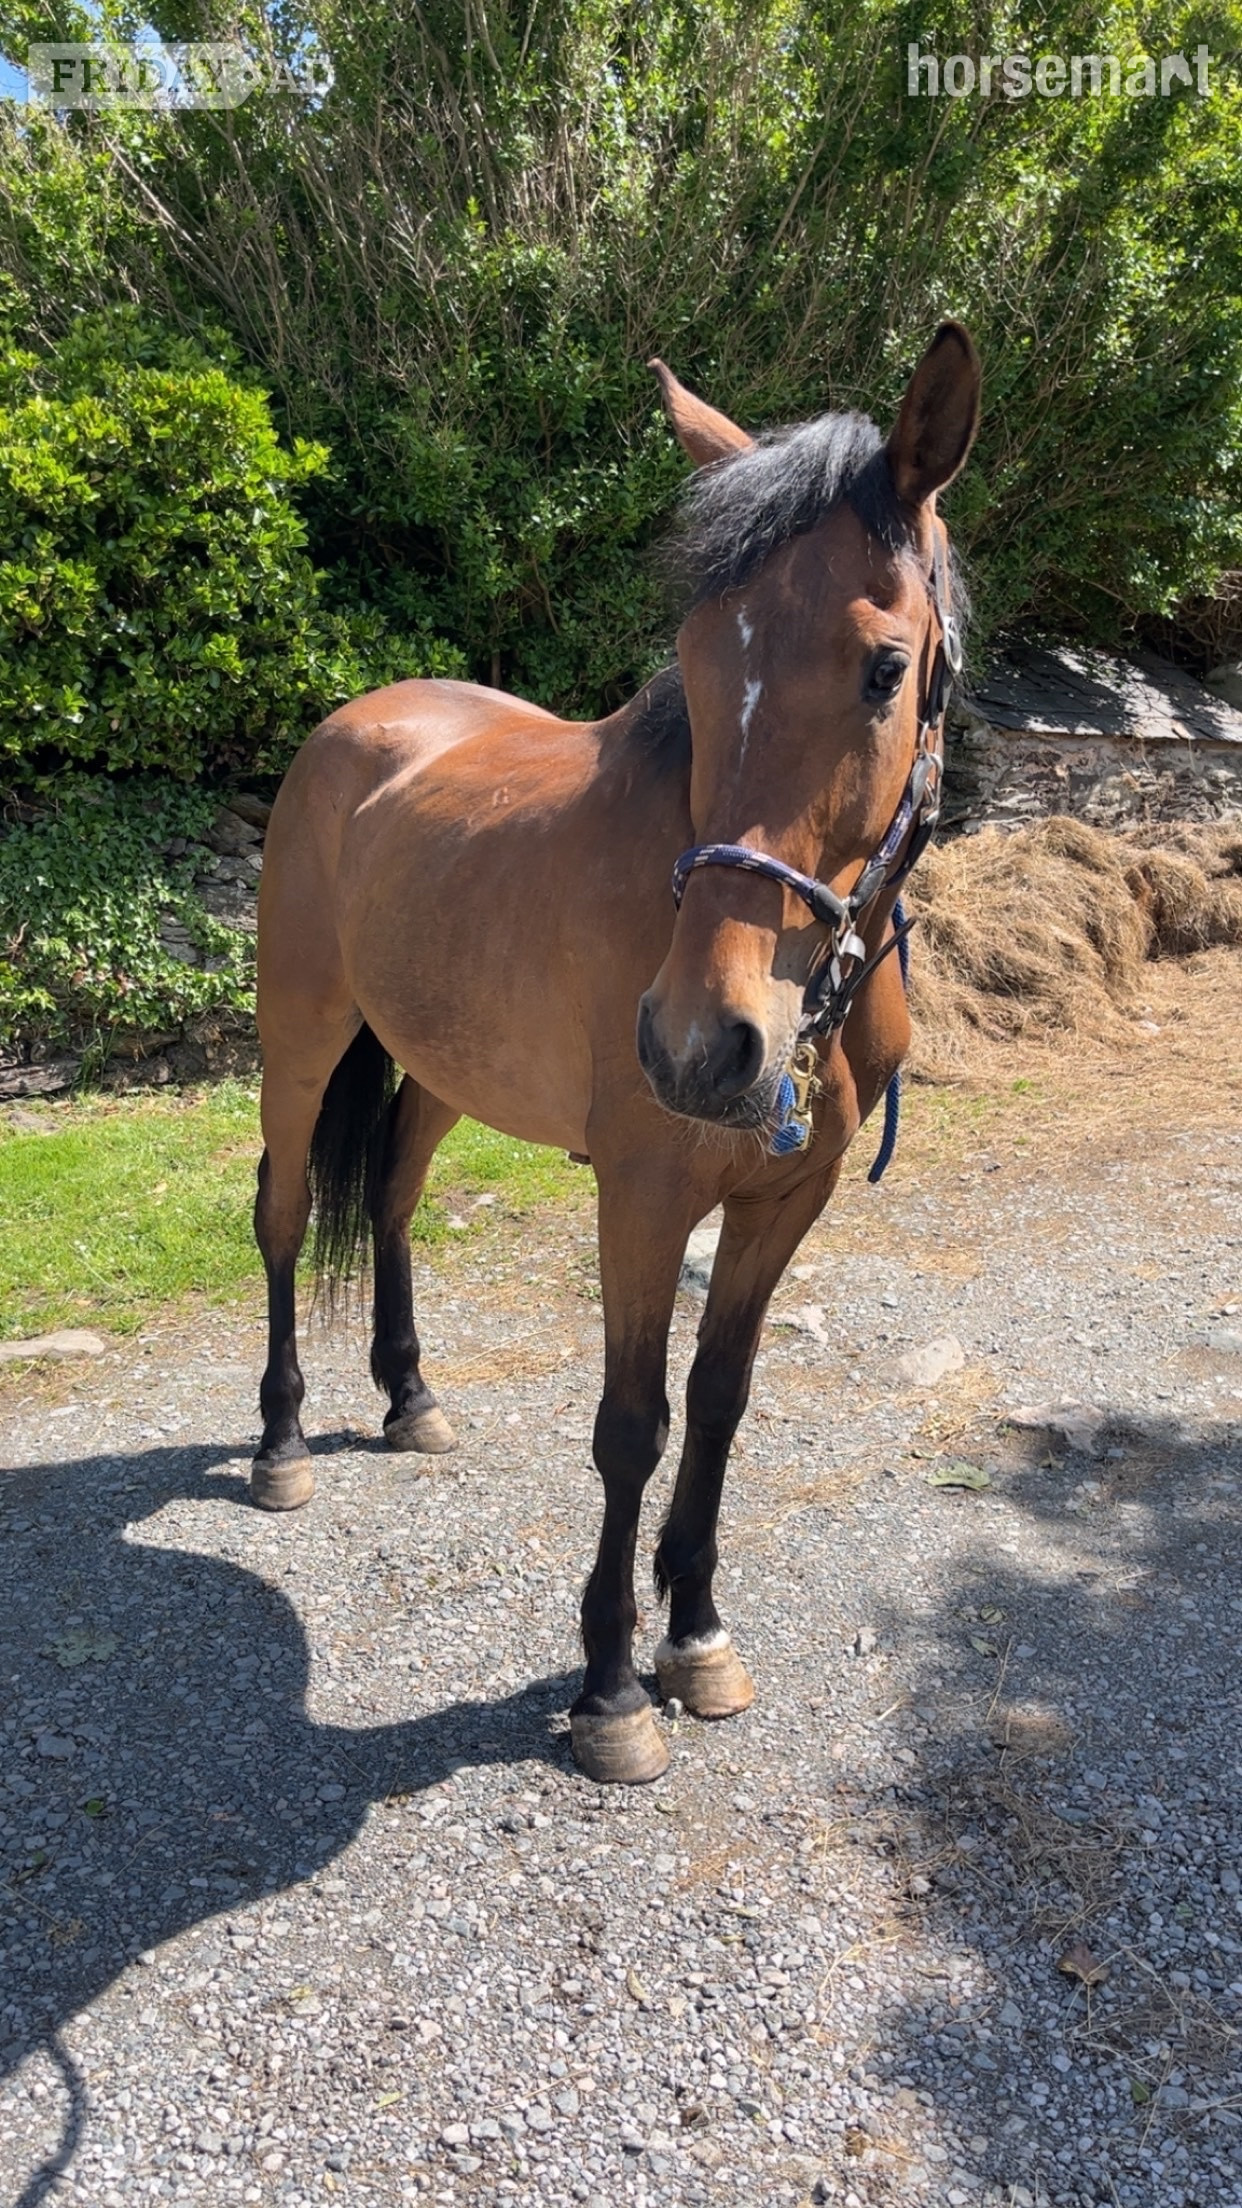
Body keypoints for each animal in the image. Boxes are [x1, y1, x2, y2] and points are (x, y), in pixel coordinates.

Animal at [251, 321, 981, 1785]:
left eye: (884, 668)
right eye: (693, 663)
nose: (705, 1045)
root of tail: (352, 726)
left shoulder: (781, 1202)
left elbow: (719, 1400)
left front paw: (695, 1635)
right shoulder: (644, 1201)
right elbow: (631, 1424)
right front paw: (608, 1689)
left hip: (439, 1071)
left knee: (395, 1199)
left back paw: (409, 1396)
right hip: (298, 1042)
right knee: (288, 1212)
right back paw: (284, 1438)